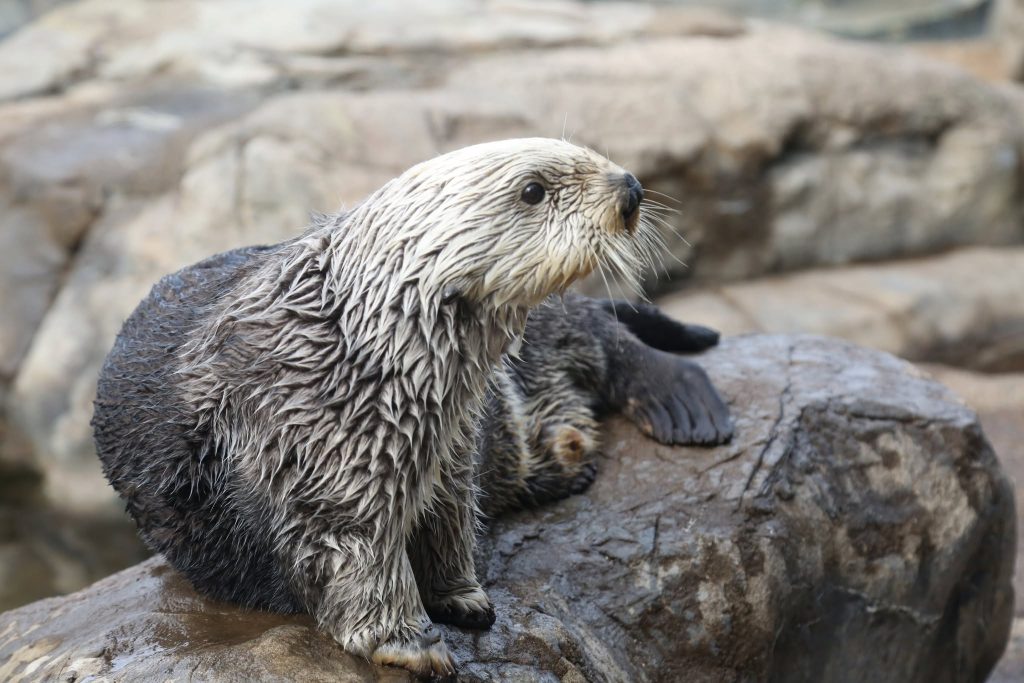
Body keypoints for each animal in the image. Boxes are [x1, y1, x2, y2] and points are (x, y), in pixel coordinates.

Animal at [91, 138, 732, 677]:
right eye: (533, 190)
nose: (631, 187)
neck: (359, 347)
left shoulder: (451, 449)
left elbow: (447, 518)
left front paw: (463, 598)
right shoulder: (324, 454)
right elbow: (354, 554)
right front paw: (411, 644)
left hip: (553, 332)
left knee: (605, 336)